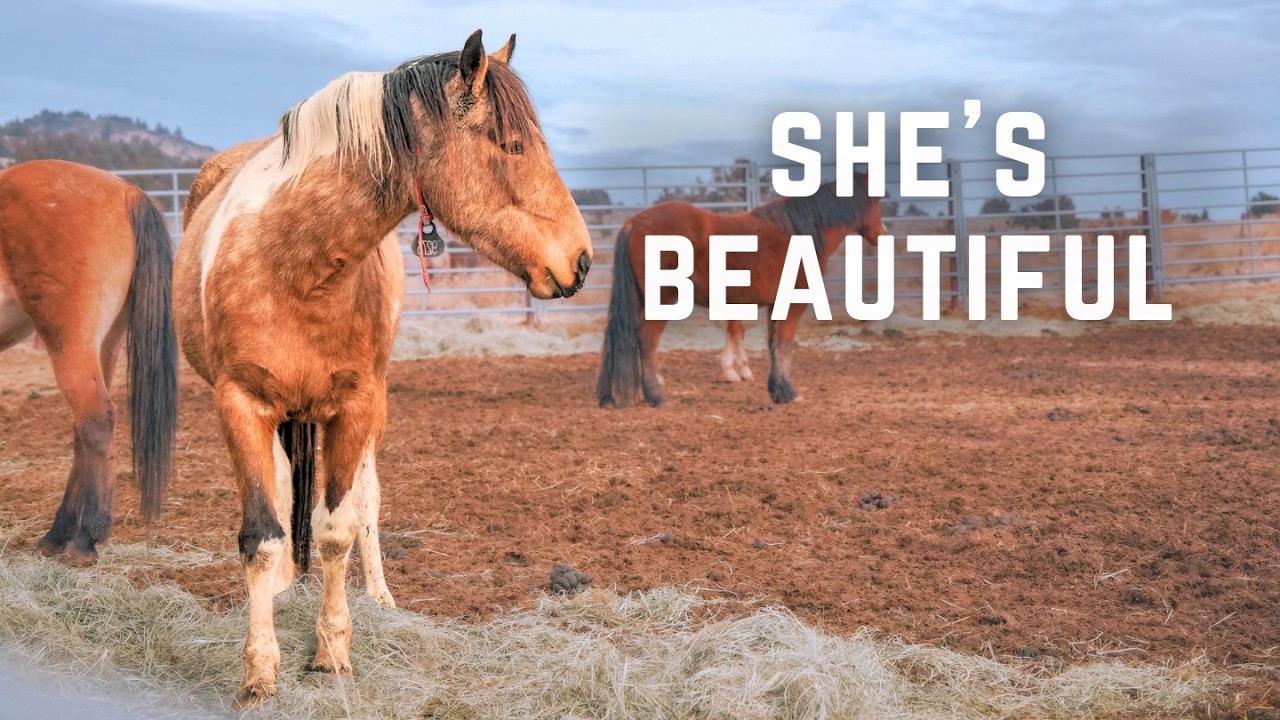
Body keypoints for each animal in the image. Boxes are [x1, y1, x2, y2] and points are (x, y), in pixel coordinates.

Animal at [0, 159, 177, 564]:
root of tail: (125, 191)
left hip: (70, 341)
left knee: (95, 420)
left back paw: (84, 540)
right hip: (105, 344)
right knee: (84, 430)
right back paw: (57, 535)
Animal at [172, 30, 592, 708]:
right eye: (512, 146)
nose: (580, 261)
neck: (294, 263)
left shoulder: (356, 405)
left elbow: (338, 528)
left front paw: (331, 655)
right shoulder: (239, 405)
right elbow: (261, 536)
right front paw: (260, 671)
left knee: (366, 498)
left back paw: (379, 597)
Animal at [597, 179, 882, 406]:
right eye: (876, 200)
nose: (882, 234)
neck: (799, 231)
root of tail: (633, 223)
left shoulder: (773, 306)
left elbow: (773, 344)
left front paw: (776, 392)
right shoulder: (792, 303)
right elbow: (784, 344)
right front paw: (788, 393)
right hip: (663, 300)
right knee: (646, 340)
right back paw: (655, 396)